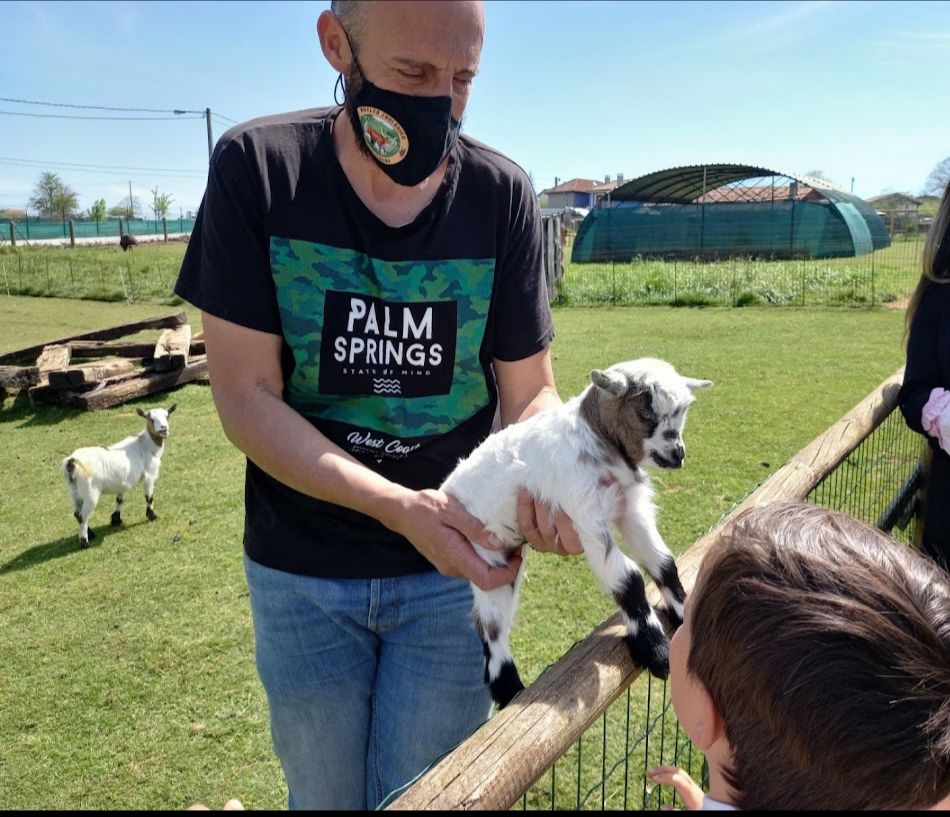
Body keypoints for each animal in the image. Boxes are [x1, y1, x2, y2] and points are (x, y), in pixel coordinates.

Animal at [62, 404, 178, 548]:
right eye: (150, 418)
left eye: (167, 416)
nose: (163, 429)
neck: (144, 444)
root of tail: (72, 462)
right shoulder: (149, 475)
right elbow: (149, 497)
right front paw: (152, 516)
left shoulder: (122, 482)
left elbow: (119, 500)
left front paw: (116, 520)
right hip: (90, 492)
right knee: (83, 516)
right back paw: (85, 542)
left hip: (74, 492)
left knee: (77, 514)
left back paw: (91, 534)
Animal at [442, 356, 712, 708]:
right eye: (646, 412)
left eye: (683, 412)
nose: (677, 454)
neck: (597, 442)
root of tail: (449, 489)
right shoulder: (588, 518)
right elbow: (629, 579)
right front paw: (656, 651)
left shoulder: (631, 511)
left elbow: (663, 562)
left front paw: (684, 617)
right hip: (483, 553)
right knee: (490, 623)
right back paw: (510, 688)